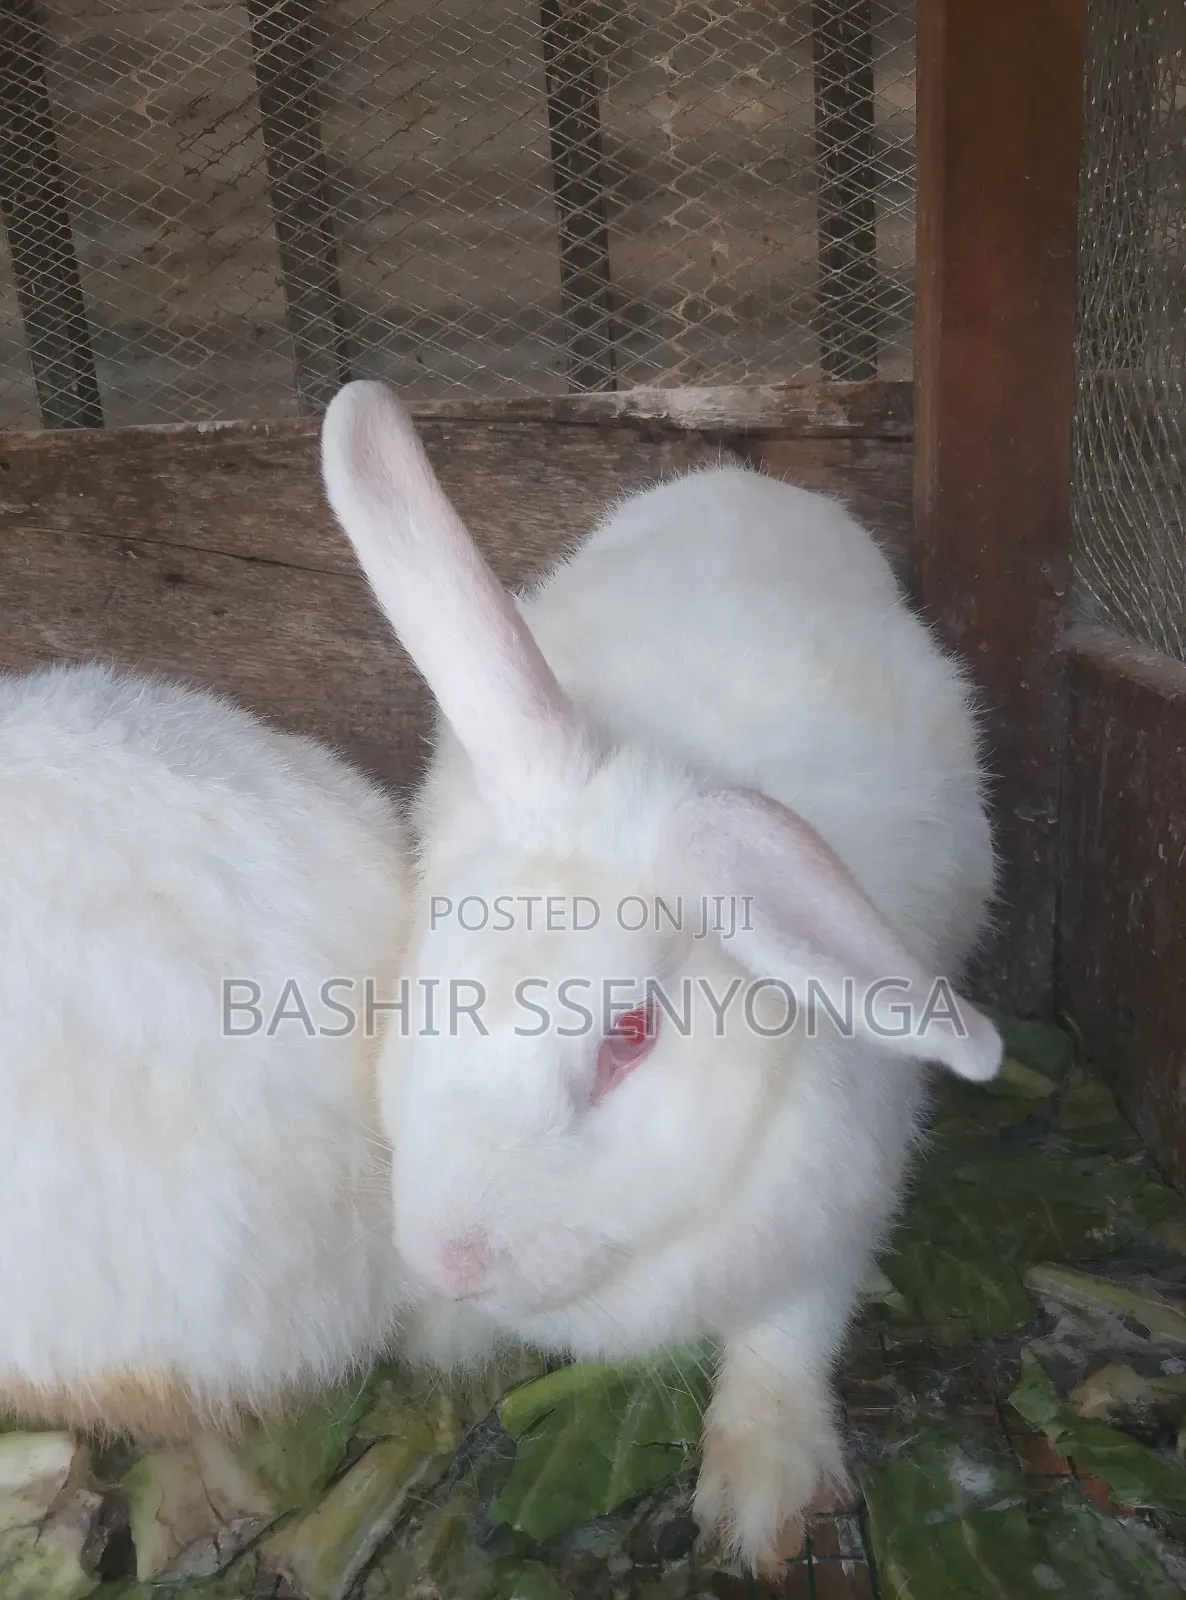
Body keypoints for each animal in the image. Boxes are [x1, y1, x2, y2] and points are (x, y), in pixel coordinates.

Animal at [320, 380, 1001, 1575]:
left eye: (628, 1038)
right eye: (424, 980)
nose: (449, 1259)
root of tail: (746, 480)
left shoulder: (830, 1229)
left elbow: (786, 1340)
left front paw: (761, 1497)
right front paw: (441, 1333)